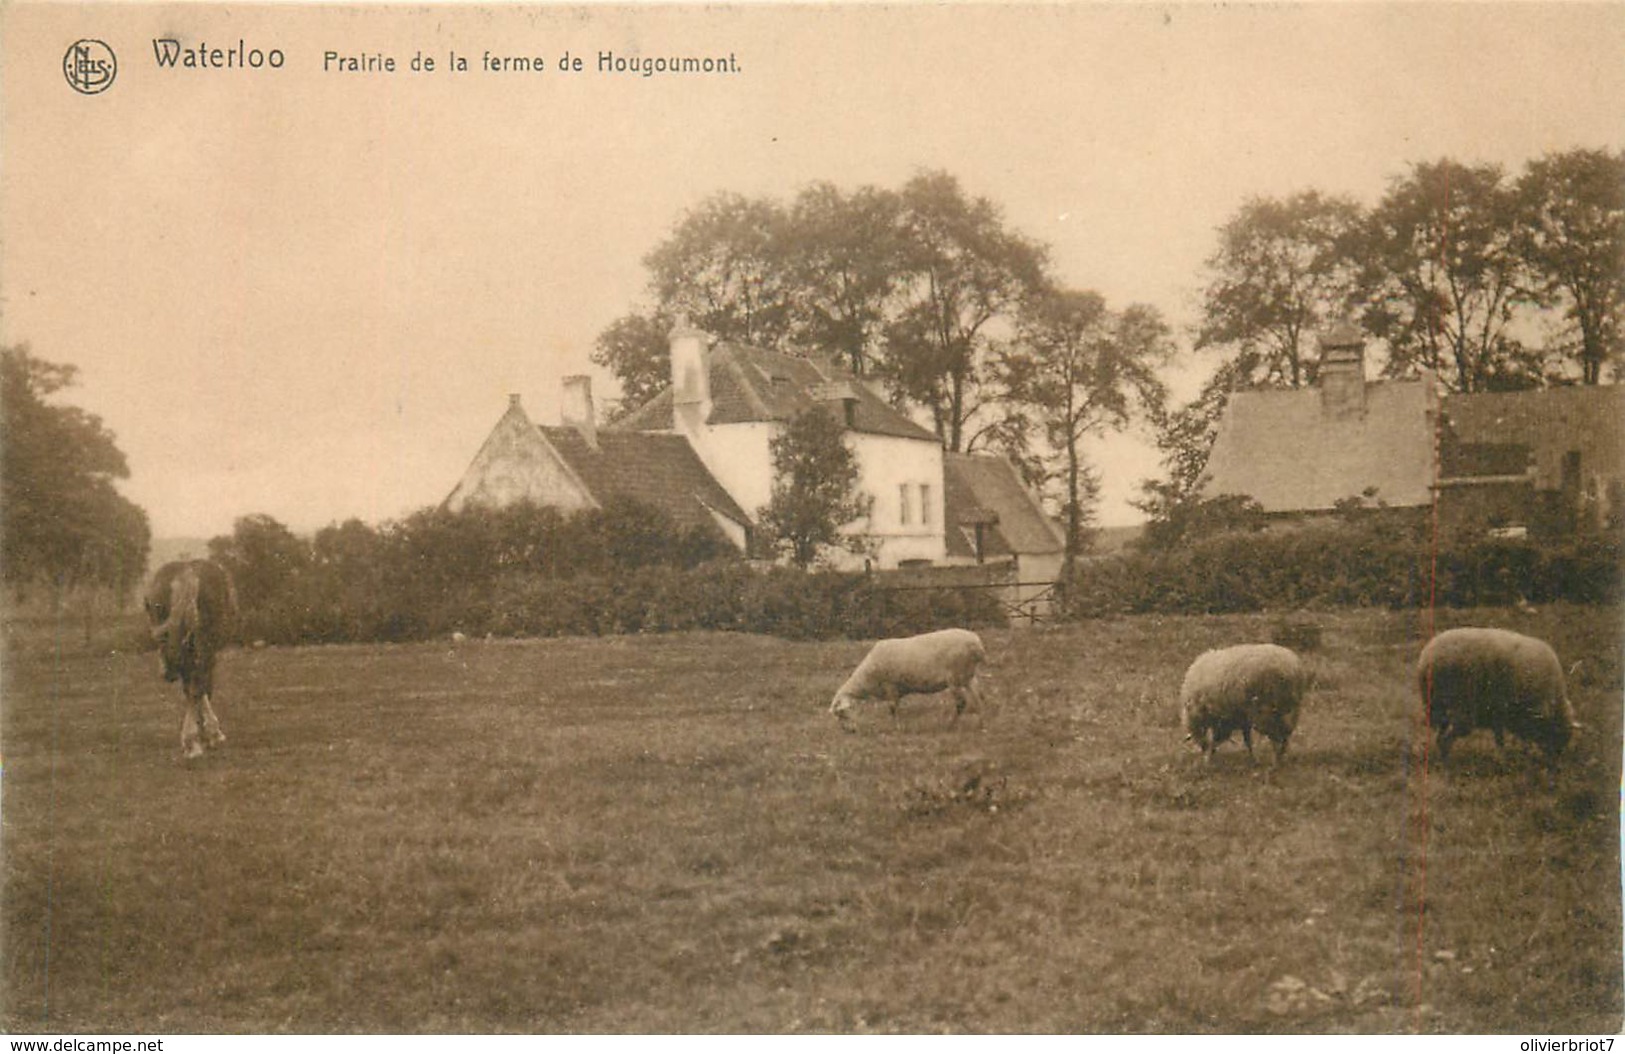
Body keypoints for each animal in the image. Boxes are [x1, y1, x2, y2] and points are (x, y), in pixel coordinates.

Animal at [832, 623, 981, 730]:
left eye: (842, 714)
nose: (849, 731)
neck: (866, 679)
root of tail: (976, 643)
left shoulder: (890, 686)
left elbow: (892, 708)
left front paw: (896, 727)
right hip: (967, 677)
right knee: (978, 698)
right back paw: (981, 722)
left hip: (955, 677)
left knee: (961, 703)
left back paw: (950, 725)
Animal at [1417, 623, 1579, 763]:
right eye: (1557, 732)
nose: (1555, 763)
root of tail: (1426, 659)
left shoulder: (1500, 714)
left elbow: (1500, 737)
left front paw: (1506, 755)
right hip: (1460, 707)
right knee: (1447, 738)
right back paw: (1447, 762)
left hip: (1438, 706)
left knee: (1440, 736)